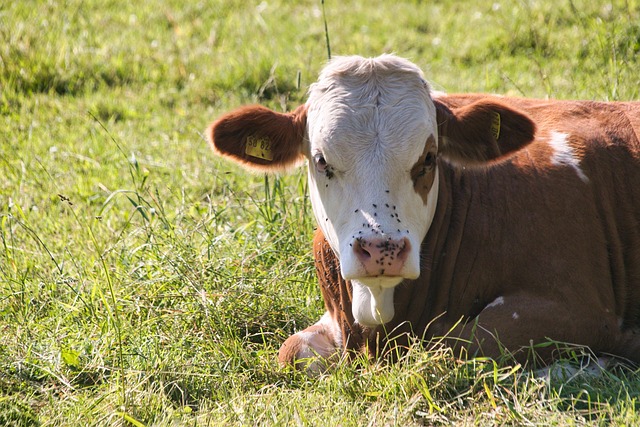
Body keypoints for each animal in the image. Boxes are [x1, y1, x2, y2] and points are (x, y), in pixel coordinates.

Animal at [206, 54, 640, 374]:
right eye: (321, 160)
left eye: (428, 158)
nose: (381, 250)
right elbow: (292, 351)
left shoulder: (577, 307)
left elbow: (456, 346)